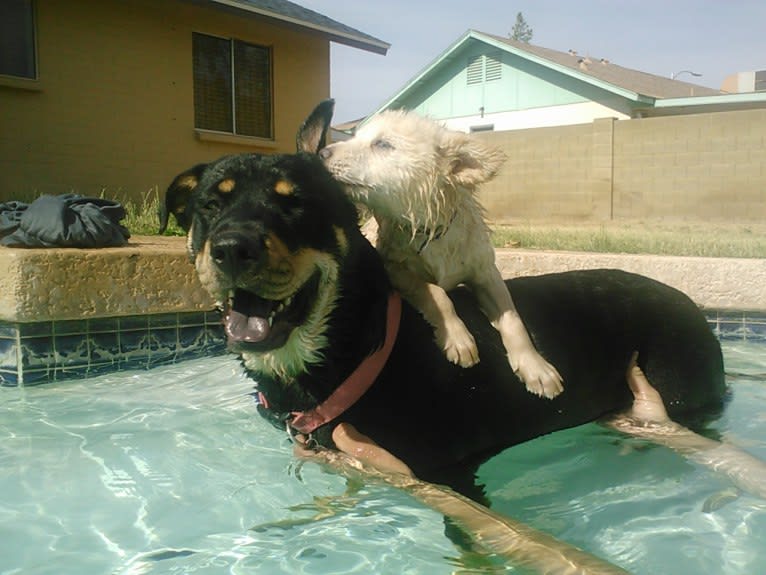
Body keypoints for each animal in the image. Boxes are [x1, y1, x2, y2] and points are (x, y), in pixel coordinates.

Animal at [318, 109, 564, 400]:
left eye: (382, 144)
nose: (321, 153)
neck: (430, 230)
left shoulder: (486, 273)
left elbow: (513, 319)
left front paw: (536, 366)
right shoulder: (392, 267)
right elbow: (438, 294)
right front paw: (457, 337)